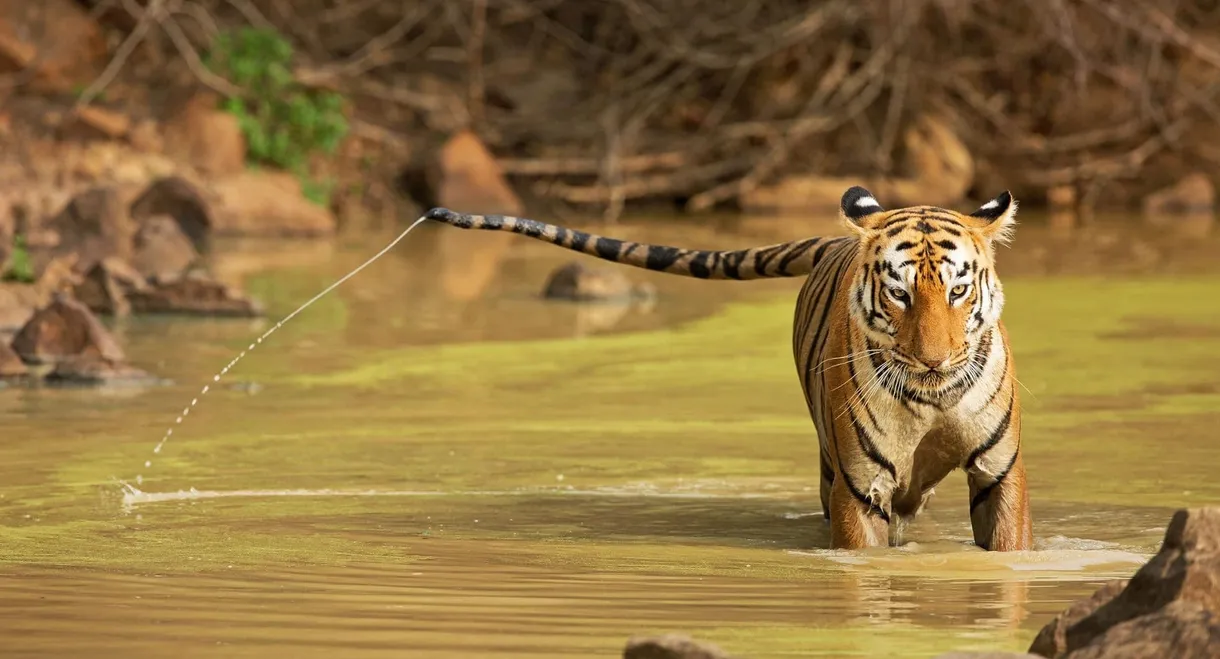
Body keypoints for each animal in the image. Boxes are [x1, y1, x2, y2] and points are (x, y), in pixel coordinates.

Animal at [424, 187, 1034, 554]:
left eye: (957, 290)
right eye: (900, 294)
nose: (935, 359)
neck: (932, 397)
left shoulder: (998, 473)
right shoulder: (861, 488)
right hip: (832, 467)